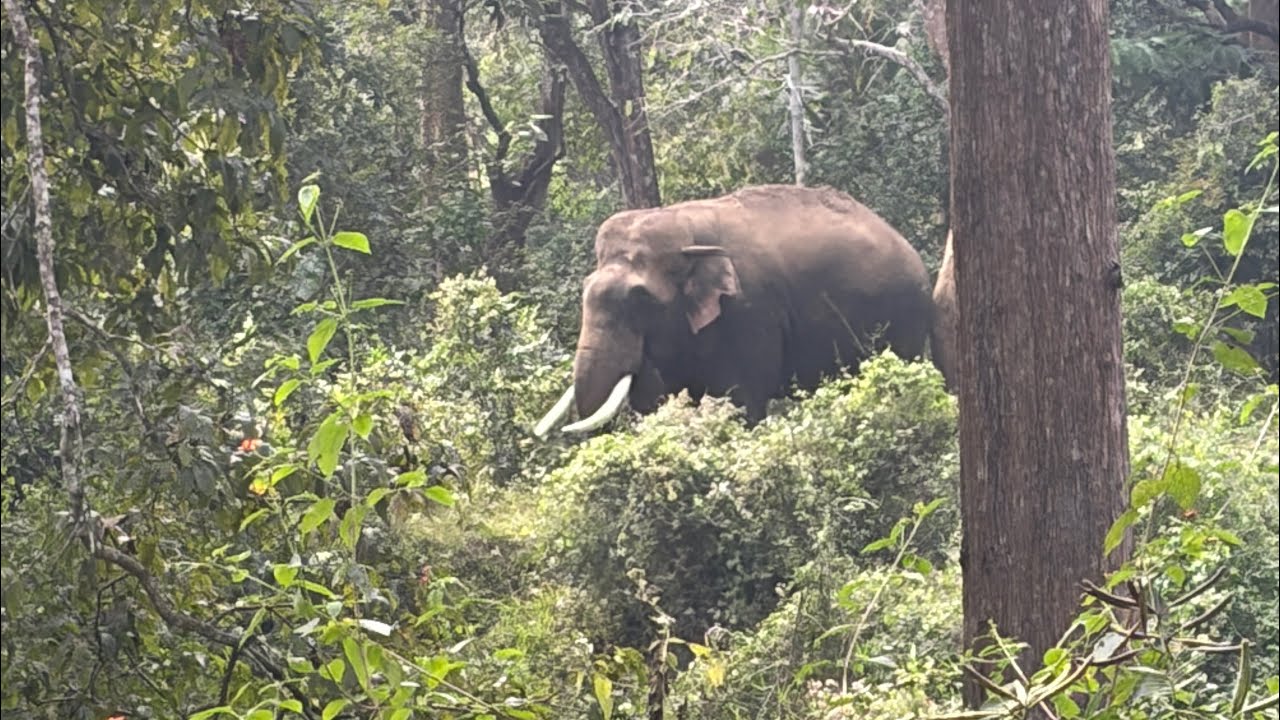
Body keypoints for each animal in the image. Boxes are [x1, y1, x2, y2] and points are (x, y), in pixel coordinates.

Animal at [535, 184, 935, 437]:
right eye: (585, 289)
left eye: (641, 300)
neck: (683, 226)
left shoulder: (750, 313)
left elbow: (741, 404)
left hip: (906, 319)